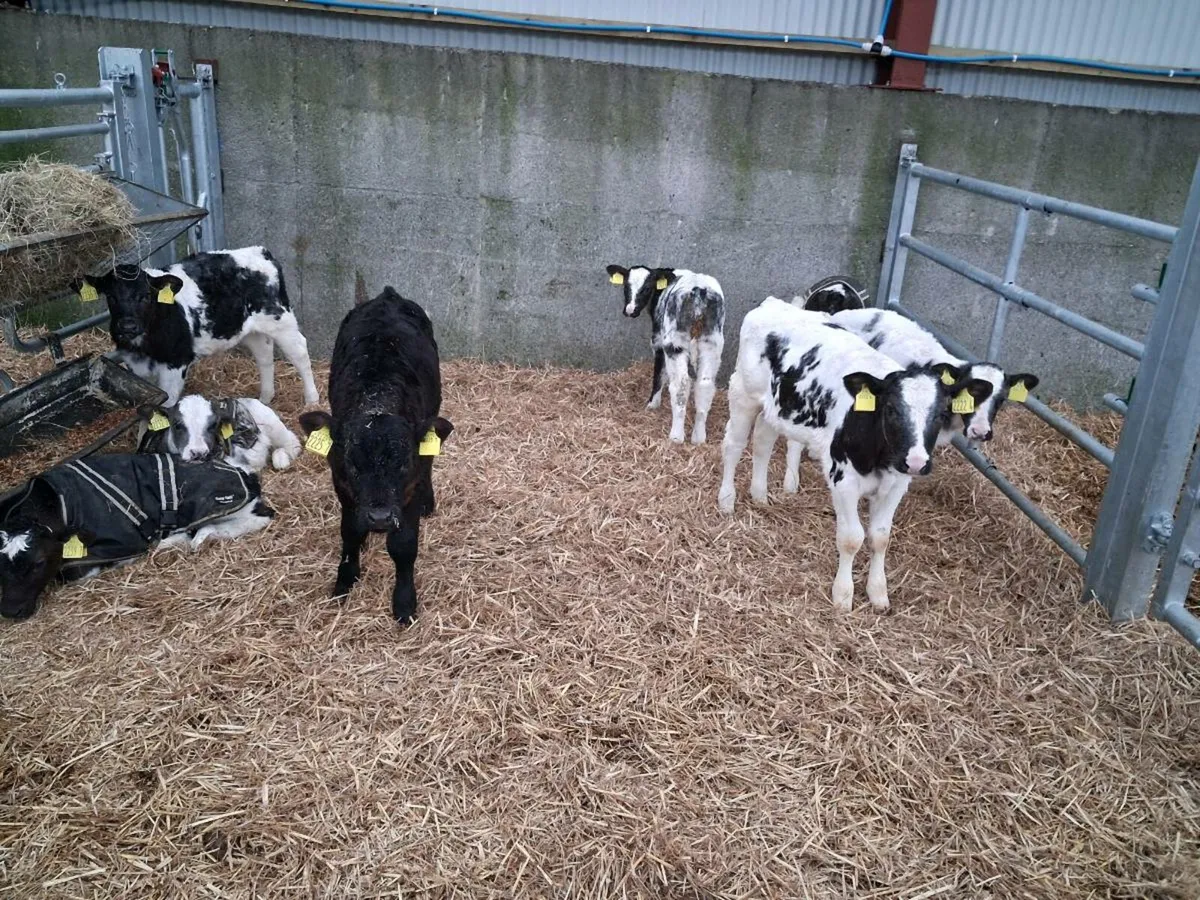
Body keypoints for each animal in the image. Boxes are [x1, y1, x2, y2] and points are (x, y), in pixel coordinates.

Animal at [79, 247, 320, 407]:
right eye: (110, 296)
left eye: (146, 296)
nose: (128, 326)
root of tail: (260, 251)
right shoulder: (137, 368)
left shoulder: (176, 363)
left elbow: (165, 407)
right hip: (249, 328)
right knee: (264, 355)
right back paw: (265, 398)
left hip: (280, 319)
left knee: (299, 352)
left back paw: (311, 400)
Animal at [137, 394, 303, 473]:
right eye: (177, 425)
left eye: (213, 425)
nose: (198, 453)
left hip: (277, 428)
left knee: (292, 444)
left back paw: (281, 460)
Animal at [298, 286, 453, 624]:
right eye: (352, 463)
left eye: (403, 462)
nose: (379, 517)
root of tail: (388, 295)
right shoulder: (341, 484)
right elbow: (350, 532)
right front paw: (345, 579)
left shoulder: (408, 489)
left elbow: (404, 544)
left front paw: (404, 602)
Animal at [605, 265, 725, 444]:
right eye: (626, 286)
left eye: (647, 288)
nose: (630, 310)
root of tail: (698, 291)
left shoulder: (658, 342)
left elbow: (659, 375)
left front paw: (652, 404)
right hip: (712, 344)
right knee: (705, 384)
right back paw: (698, 438)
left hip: (674, 343)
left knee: (681, 384)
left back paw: (676, 437)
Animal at [717, 298, 977, 613]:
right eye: (891, 409)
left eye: (940, 414)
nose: (916, 462)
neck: (878, 455)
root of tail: (774, 304)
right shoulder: (843, 480)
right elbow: (852, 538)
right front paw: (843, 595)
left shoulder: (897, 484)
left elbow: (880, 537)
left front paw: (878, 593)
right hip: (742, 394)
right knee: (734, 445)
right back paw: (727, 500)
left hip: (776, 410)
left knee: (762, 443)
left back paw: (760, 496)